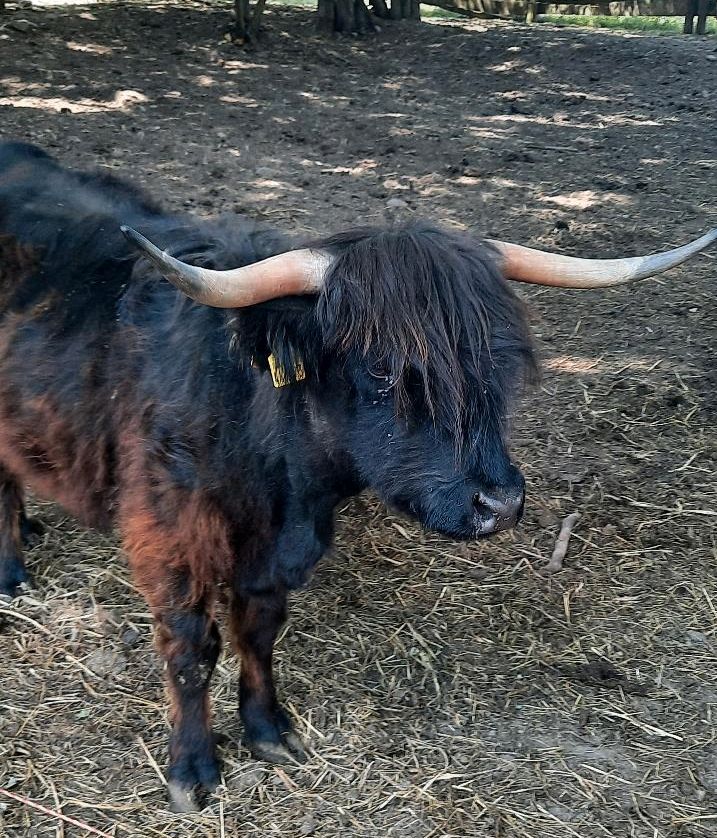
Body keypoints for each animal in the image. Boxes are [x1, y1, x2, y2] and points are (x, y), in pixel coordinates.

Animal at [0, 144, 712, 812]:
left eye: (497, 364)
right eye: (383, 372)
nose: (501, 502)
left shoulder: (280, 551)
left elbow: (258, 629)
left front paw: (269, 730)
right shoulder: (169, 534)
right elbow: (192, 649)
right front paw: (193, 769)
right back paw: (12, 571)